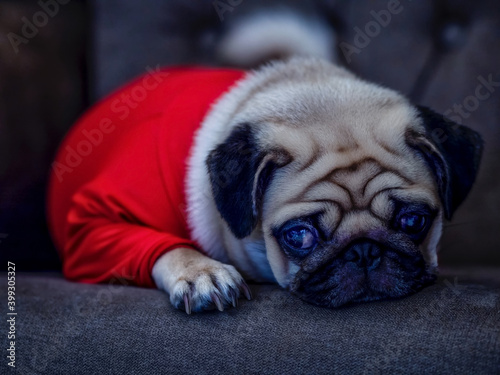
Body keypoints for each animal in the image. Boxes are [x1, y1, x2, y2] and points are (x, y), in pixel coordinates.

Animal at [48, 57, 482, 314]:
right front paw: (201, 271)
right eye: (299, 235)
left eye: (413, 222)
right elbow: (166, 246)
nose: (364, 252)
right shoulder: (87, 228)